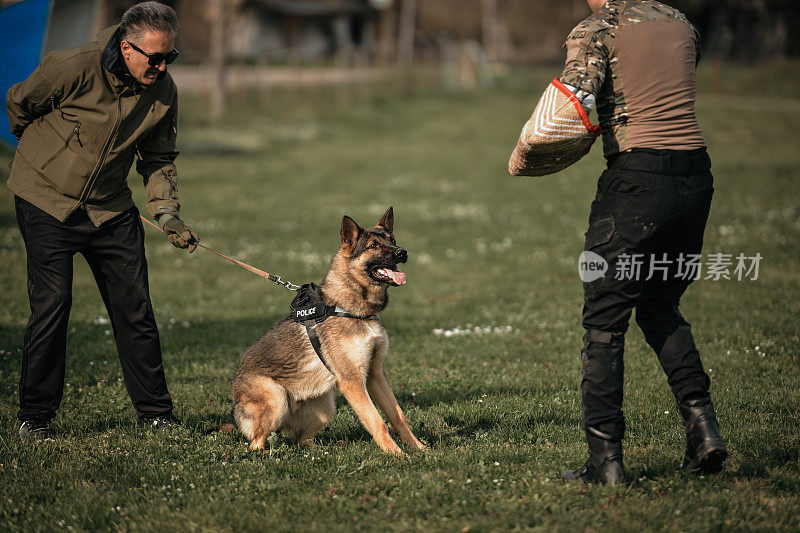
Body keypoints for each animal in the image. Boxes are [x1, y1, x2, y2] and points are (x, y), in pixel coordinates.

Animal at [230, 207, 424, 454]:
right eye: (373, 246)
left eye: (392, 240)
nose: (402, 253)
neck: (352, 307)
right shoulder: (353, 382)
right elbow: (377, 421)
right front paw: (397, 455)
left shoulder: (376, 374)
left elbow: (398, 416)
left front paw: (419, 449)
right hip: (277, 397)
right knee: (256, 443)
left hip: (325, 408)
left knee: (299, 440)